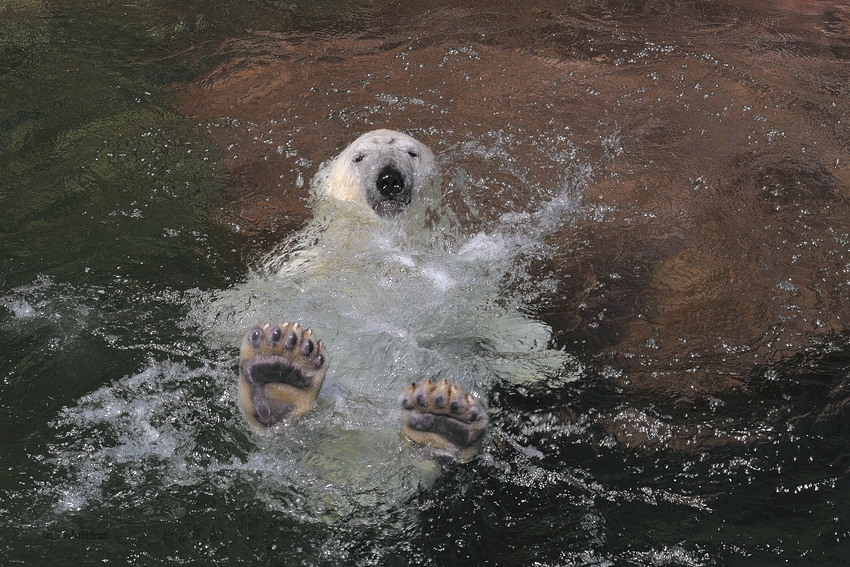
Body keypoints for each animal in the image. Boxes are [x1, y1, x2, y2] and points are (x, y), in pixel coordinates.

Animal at [242, 131, 486, 464]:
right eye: (359, 157)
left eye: (411, 153)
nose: (390, 179)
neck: (372, 245)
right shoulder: (304, 262)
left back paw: (443, 421)